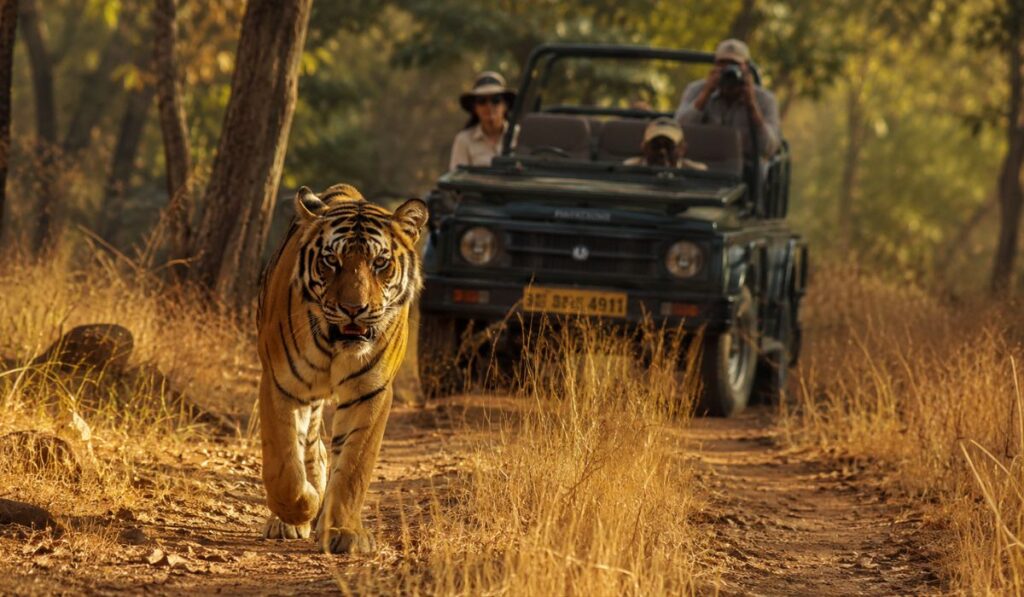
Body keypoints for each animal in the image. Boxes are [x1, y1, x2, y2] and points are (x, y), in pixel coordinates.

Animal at [255, 183, 428, 554]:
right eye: (331, 261)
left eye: (380, 263)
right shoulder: (281, 383)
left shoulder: (371, 392)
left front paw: (343, 530)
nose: (353, 308)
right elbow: (283, 466)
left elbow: (353, 468)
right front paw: (300, 509)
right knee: (308, 447)